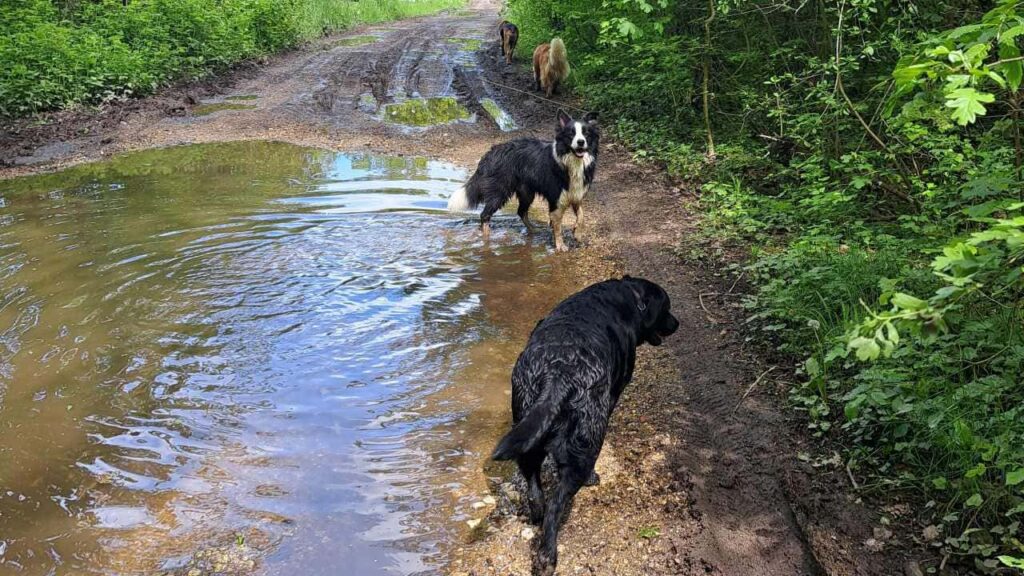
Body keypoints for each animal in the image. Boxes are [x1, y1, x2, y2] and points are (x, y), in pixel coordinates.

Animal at [444, 108, 598, 250]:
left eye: (586, 133)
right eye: (571, 133)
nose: (581, 142)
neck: (571, 160)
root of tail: (490, 153)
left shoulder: (575, 193)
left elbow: (581, 215)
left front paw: (577, 233)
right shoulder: (556, 197)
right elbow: (557, 225)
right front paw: (560, 245)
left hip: (526, 192)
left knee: (521, 212)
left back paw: (533, 231)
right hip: (500, 192)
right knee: (485, 215)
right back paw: (487, 239)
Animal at [489, 276, 675, 569]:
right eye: (666, 308)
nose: (677, 323)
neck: (629, 299)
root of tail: (557, 374)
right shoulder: (613, 393)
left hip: (526, 433)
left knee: (535, 489)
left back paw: (536, 516)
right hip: (584, 446)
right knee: (557, 503)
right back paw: (548, 555)